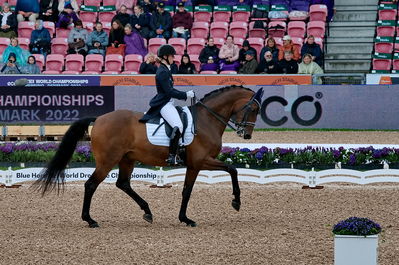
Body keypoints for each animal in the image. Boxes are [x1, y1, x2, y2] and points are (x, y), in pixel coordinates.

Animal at [35, 85, 266, 226]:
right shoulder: (201, 161)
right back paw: (90, 220)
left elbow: (187, 190)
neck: (207, 120)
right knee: (91, 185)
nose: (246, 135)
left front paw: (184, 218)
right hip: (108, 161)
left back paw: (147, 211)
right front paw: (236, 202)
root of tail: (99, 118)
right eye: (254, 109)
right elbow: (231, 169)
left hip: (127, 159)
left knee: (123, 184)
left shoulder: (194, 164)